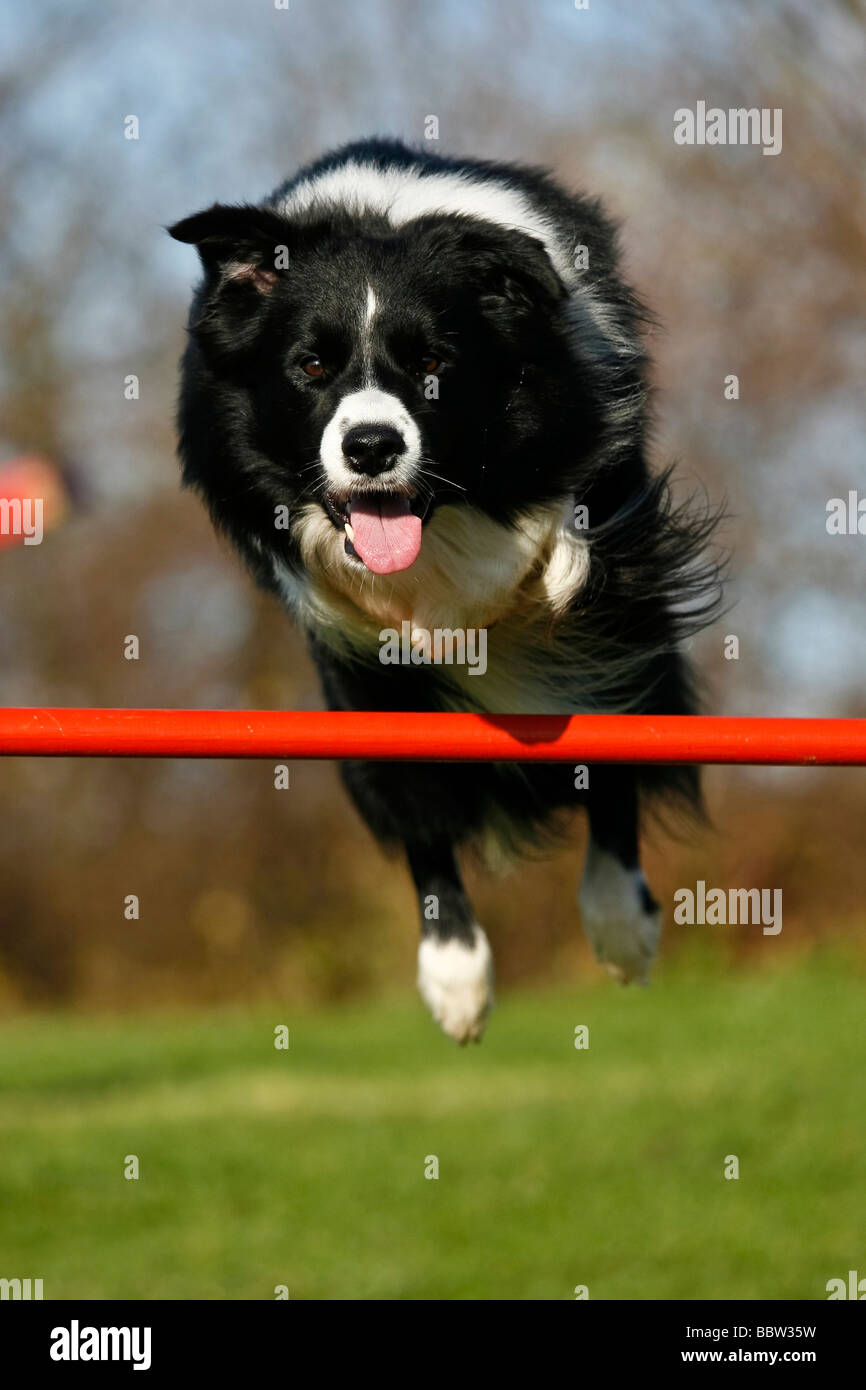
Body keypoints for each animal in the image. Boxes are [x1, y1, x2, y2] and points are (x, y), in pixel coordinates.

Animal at [167, 138, 717, 1045]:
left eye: (431, 364)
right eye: (310, 365)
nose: (371, 446)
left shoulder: (610, 544)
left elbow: (609, 722)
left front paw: (620, 922)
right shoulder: (357, 668)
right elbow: (417, 802)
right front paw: (457, 978)